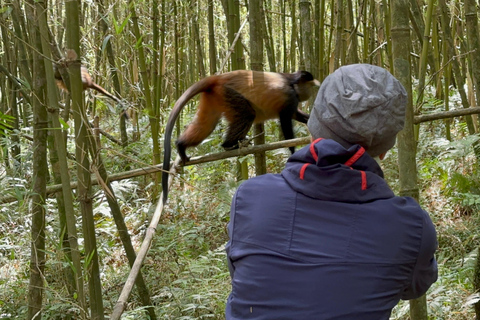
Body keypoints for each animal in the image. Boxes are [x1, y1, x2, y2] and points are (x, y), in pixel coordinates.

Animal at [163, 69, 320, 201]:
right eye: (310, 86)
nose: (311, 92)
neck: (291, 81)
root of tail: (218, 78)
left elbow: (297, 115)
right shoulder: (290, 97)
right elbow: (286, 120)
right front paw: (293, 153)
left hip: (215, 96)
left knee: (206, 125)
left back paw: (181, 145)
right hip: (228, 93)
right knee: (247, 114)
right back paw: (228, 145)